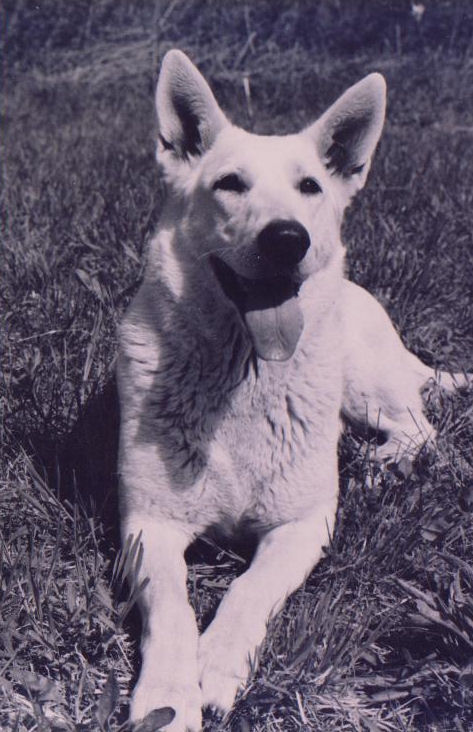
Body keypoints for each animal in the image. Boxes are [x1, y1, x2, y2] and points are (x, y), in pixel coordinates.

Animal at [117, 48, 468, 728]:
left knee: (418, 424)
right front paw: (168, 692)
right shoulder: (149, 523)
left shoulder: (304, 525)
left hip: (362, 381)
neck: (242, 376)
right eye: (230, 183)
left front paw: (216, 662)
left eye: (310, 187)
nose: (287, 239)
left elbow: (249, 588)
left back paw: (382, 462)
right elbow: (170, 605)